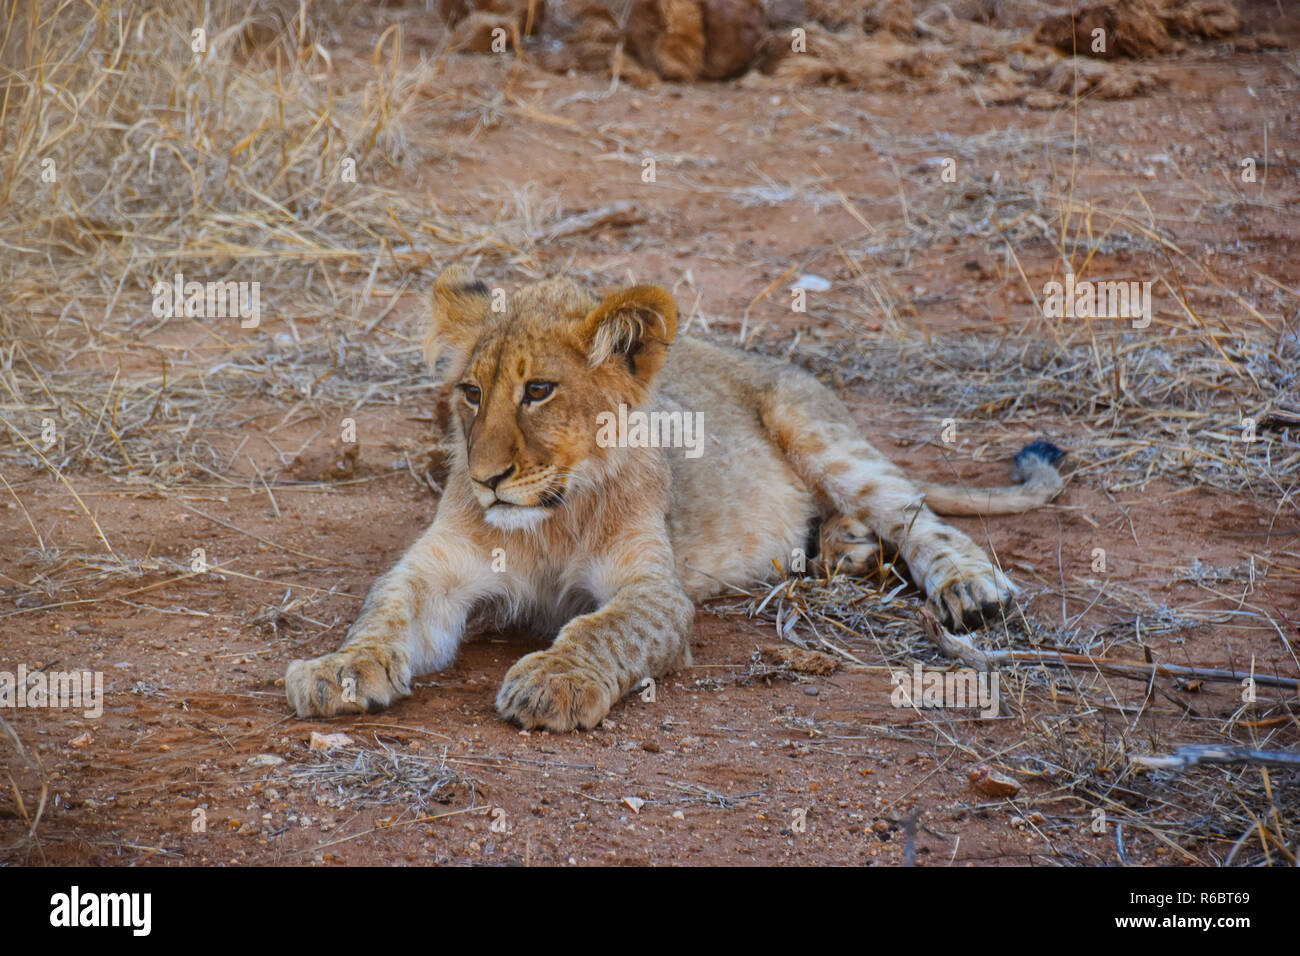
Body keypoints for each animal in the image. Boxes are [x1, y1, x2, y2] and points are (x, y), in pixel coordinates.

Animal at [285, 267, 1065, 731]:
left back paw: (968, 588)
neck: (549, 518)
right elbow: (385, 607)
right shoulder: (437, 570)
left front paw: (551, 683)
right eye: (471, 393)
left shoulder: (654, 589)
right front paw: (337, 669)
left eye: (539, 390)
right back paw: (845, 549)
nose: (485, 479)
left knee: (913, 511)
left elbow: (602, 628)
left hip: (816, 431)